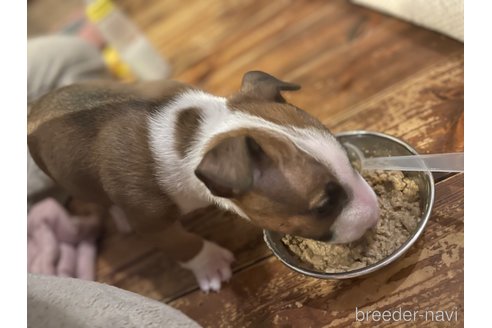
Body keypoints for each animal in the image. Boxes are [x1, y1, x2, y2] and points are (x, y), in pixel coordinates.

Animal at [27, 70, 380, 290]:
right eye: (324, 206)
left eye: (348, 159)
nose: (375, 211)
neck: (200, 135)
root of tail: (33, 107)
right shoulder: (152, 222)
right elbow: (183, 243)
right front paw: (210, 264)